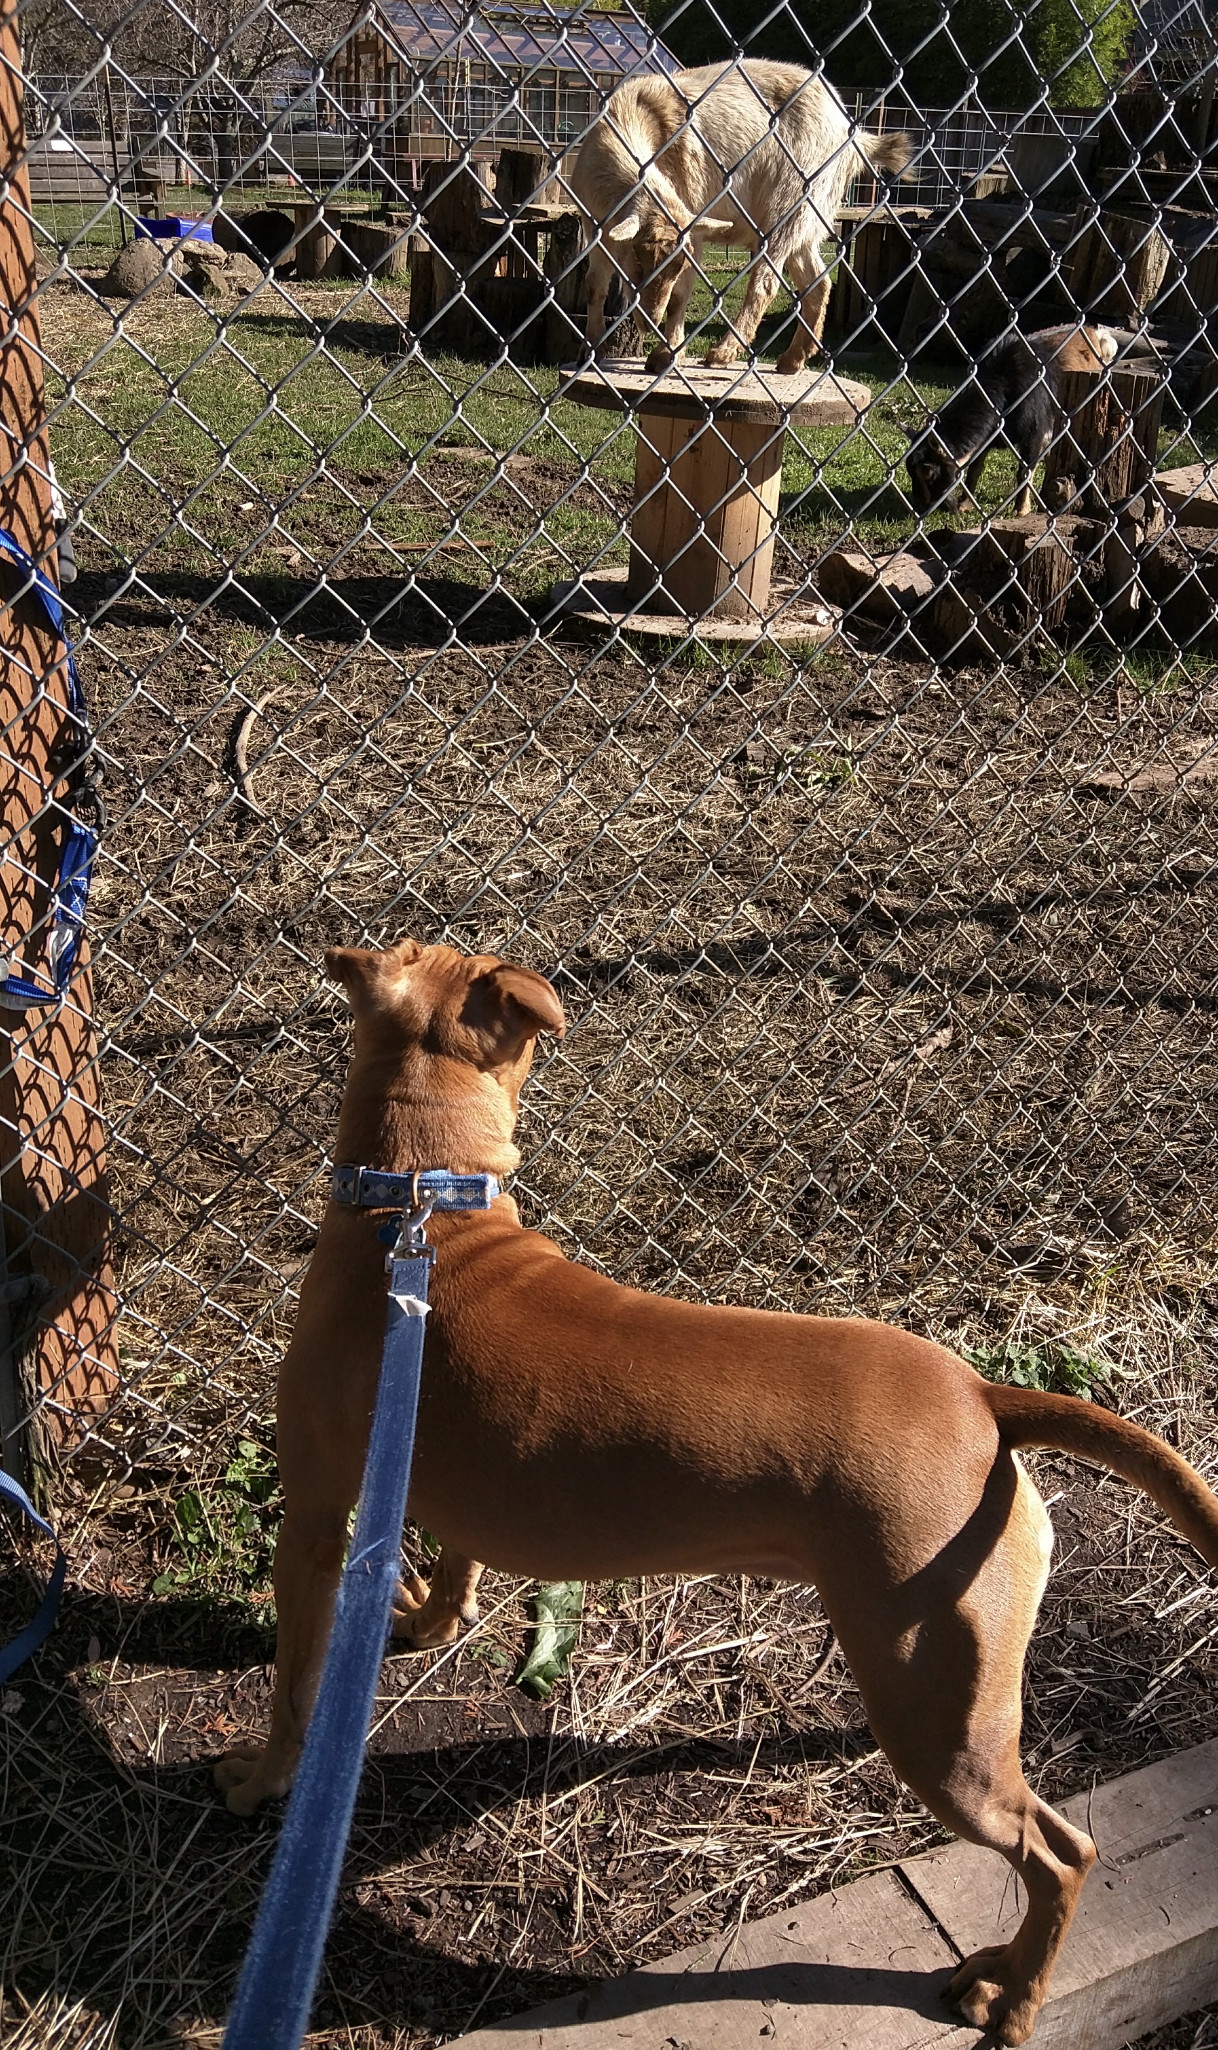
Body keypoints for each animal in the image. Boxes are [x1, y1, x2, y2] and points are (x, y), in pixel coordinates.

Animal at [215, 938, 1213, 2041]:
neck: (420, 1202)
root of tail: (982, 1394)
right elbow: (457, 1562)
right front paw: (432, 1619)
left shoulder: (312, 1523)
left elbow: (295, 1690)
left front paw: (257, 1783)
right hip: (947, 1681)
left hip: (935, 1718)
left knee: (1061, 1852)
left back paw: (1014, 1993)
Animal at [574, 62, 906, 377]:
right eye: (638, 262)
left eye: (674, 268)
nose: (650, 321)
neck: (629, 117)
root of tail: (853, 135)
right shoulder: (596, 228)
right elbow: (594, 285)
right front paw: (591, 351)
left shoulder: (692, 224)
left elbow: (680, 295)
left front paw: (666, 355)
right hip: (808, 219)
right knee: (818, 281)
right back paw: (792, 360)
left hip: (789, 202)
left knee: (767, 281)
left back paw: (724, 352)